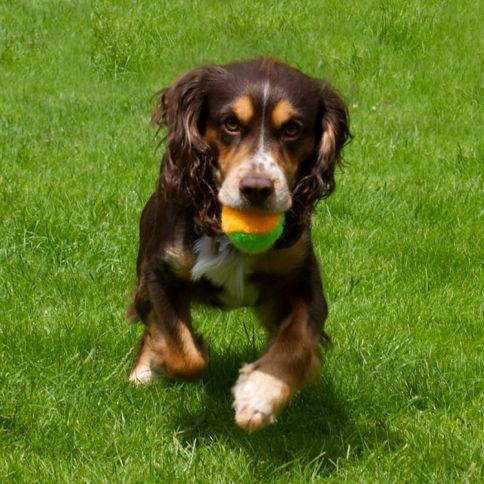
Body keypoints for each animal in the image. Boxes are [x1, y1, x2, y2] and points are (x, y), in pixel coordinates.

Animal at [126, 57, 350, 432]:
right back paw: (143, 370)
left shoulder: (303, 280)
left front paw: (259, 395)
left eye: (293, 129)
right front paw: (174, 354)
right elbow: (182, 350)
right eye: (230, 123)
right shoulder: (159, 271)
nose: (257, 188)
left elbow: (298, 341)